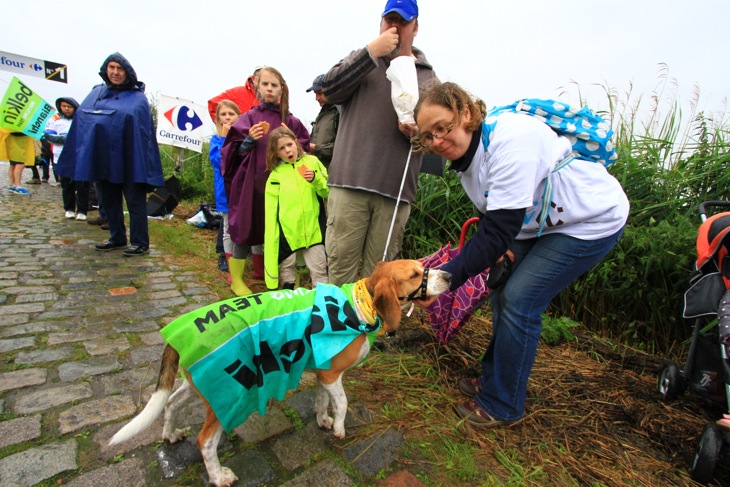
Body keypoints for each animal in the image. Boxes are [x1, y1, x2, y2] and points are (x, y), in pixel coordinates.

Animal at [108, 262, 450, 486]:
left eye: (423, 266)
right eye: (415, 275)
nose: (448, 275)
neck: (358, 305)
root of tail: (178, 333)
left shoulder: (323, 374)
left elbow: (321, 402)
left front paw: (323, 421)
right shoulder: (332, 376)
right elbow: (342, 403)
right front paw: (339, 428)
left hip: (199, 387)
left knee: (170, 404)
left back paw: (170, 435)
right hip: (227, 398)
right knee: (204, 441)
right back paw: (219, 476)